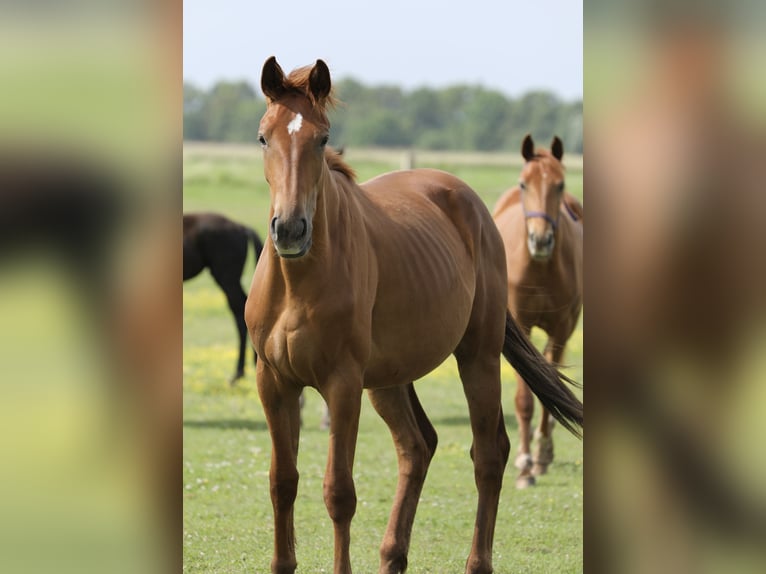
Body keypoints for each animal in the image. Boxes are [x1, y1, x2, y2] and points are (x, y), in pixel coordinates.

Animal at [246, 58, 584, 574]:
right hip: (389, 381)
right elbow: (282, 482)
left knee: (489, 454)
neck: (298, 282)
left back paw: (478, 560)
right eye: (264, 137)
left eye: (322, 139)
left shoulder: (342, 385)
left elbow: (339, 493)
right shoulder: (274, 381)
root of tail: (469, 201)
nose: (289, 229)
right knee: (417, 446)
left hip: (477, 357)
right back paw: (392, 555)